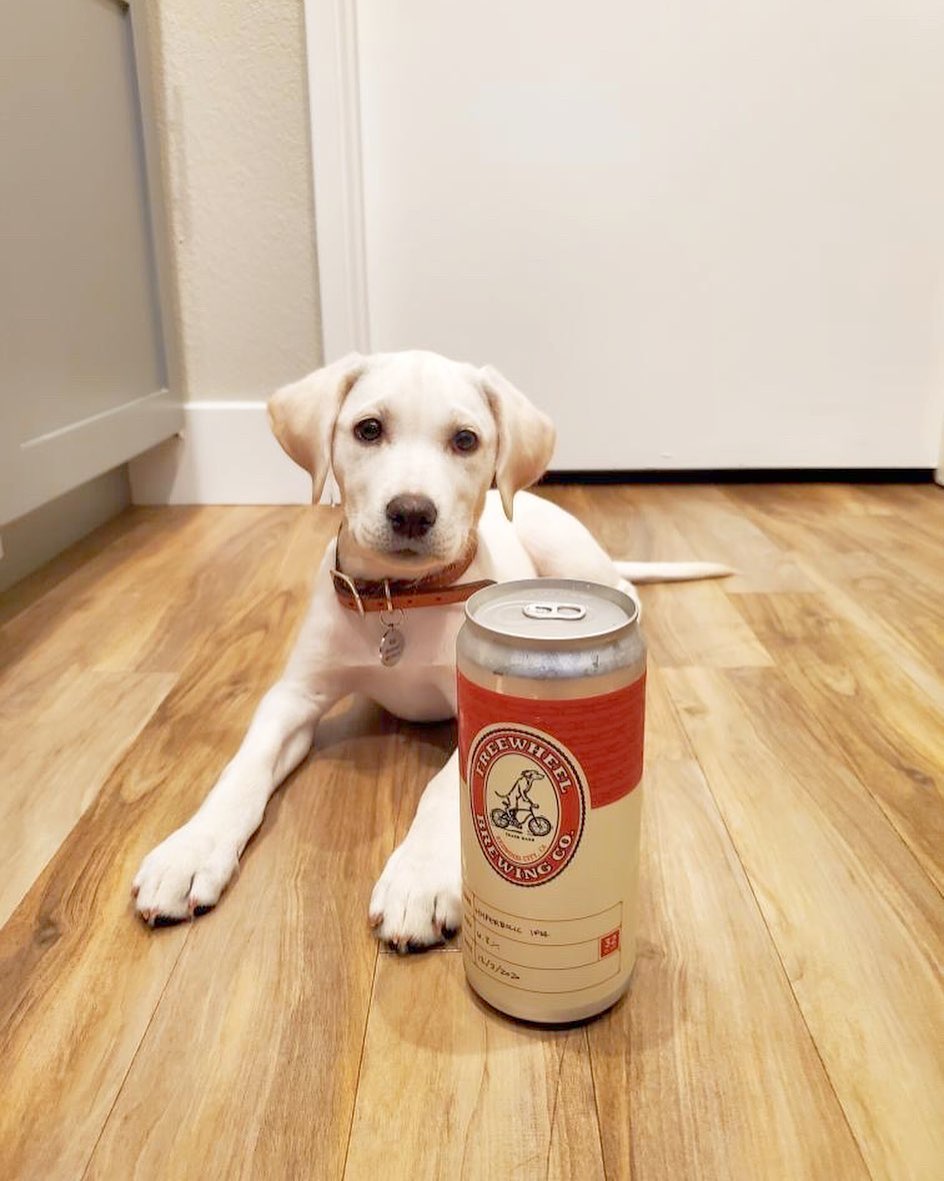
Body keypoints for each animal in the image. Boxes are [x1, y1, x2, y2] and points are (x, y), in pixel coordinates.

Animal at [131, 349, 723, 949]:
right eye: (368, 429)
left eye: (465, 440)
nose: (412, 512)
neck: (402, 599)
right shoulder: (295, 695)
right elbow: (243, 767)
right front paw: (190, 849)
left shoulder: (473, 700)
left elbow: (446, 788)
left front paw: (419, 880)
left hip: (565, 551)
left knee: (619, 590)